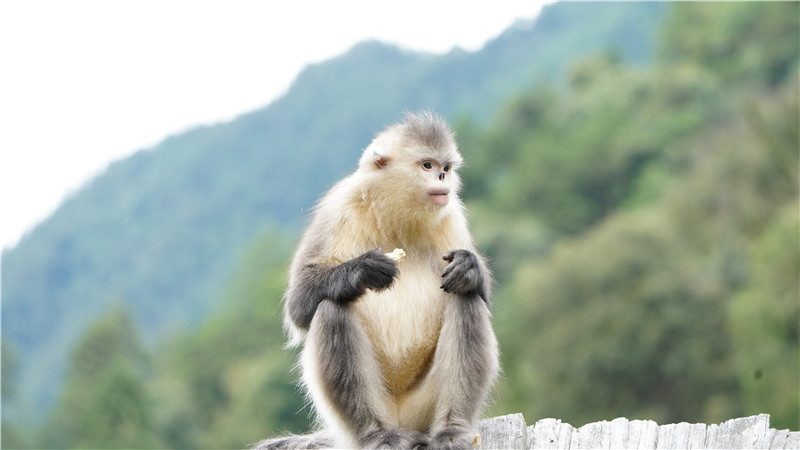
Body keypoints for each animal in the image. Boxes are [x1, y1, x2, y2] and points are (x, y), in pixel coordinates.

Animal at [256, 110, 496, 448]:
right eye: (427, 165)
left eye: (446, 168)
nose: (442, 179)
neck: (396, 213)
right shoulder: (338, 206)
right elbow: (299, 305)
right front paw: (362, 270)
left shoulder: (451, 214)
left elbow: (478, 292)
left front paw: (470, 268)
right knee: (332, 308)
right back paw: (378, 435)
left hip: (422, 409)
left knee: (466, 297)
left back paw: (451, 429)